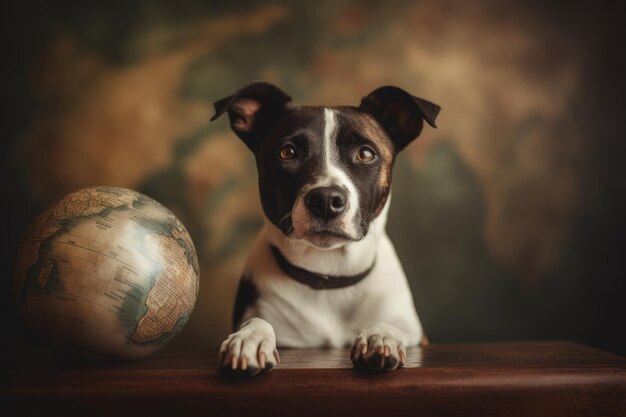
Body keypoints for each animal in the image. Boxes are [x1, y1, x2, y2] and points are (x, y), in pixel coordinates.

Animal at [211, 82, 438, 374]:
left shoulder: (416, 334)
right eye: (287, 152)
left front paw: (380, 336)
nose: (326, 200)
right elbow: (259, 321)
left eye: (366, 153)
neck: (329, 274)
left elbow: (389, 323)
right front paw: (249, 338)